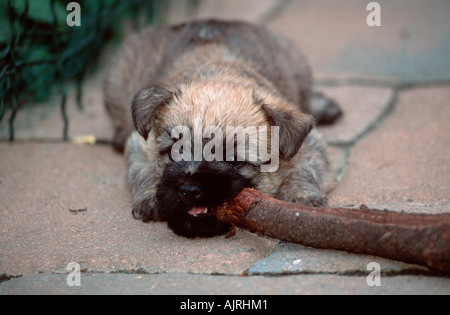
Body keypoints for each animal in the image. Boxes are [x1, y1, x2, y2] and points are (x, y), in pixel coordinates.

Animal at [103, 20, 342, 237]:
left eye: (233, 160)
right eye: (174, 151)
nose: (188, 190)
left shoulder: (310, 145)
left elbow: (304, 170)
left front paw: (302, 197)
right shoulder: (140, 143)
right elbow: (142, 169)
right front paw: (150, 195)